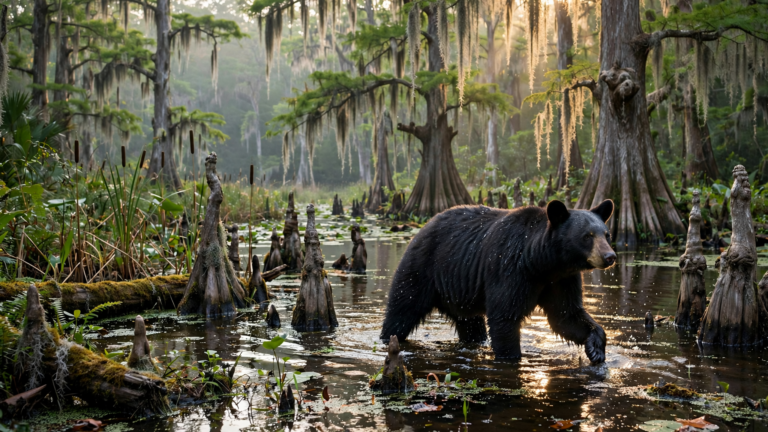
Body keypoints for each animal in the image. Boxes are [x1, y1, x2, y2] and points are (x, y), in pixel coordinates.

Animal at [379, 199, 616, 364]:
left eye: (607, 234)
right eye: (588, 236)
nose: (610, 256)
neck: (541, 262)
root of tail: (423, 227)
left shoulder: (561, 279)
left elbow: (566, 315)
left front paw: (596, 349)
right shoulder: (511, 269)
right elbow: (505, 316)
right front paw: (511, 356)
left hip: (460, 293)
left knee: (472, 326)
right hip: (421, 269)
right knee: (401, 310)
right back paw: (388, 338)